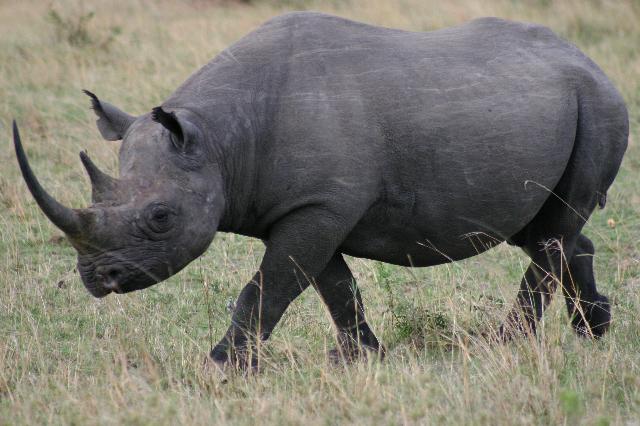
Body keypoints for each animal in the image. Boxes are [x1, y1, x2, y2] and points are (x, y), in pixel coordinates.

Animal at [13, 12, 628, 368]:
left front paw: (222, 364)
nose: (99, 280)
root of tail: (591, 62)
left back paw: (504, 346)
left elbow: (271, 286)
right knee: (545, 227)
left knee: (551, 230)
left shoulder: (319, 205)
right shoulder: (313, 207)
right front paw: (362, 358)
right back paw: (594, 331)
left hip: (598, 105)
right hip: (554, 104)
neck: (219, 140)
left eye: (161, 217)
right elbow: (333, 286)